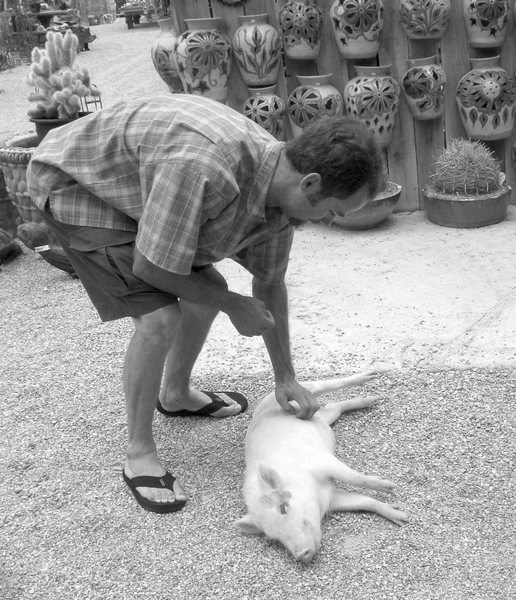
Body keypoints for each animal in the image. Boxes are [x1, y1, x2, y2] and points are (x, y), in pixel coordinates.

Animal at [234, 370, 408, 564]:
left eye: (283, 508)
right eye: (273, 537)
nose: (301, 555)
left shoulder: (321, 461)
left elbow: (353, 477)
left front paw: (391, 488)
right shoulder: (333, 498)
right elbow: (363, 501)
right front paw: (401, 517)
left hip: (305, 391)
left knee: (327, 385)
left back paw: (372, 378)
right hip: (325, 416)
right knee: (333, 407)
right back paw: (372, 400)